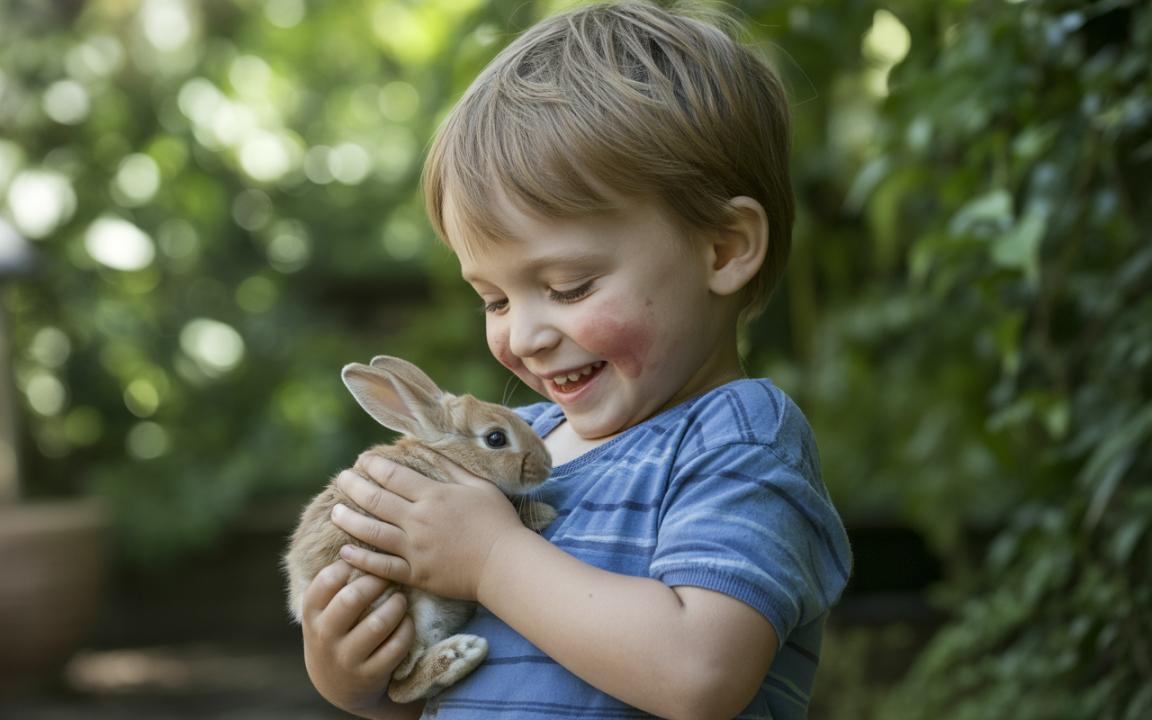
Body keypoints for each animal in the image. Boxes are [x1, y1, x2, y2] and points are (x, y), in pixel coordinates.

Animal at [284, 355, 556, 703]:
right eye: (496, 438)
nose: (547, 464)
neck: (444, 456)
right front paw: (544, 514)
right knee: (399, 683)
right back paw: (459, 653)